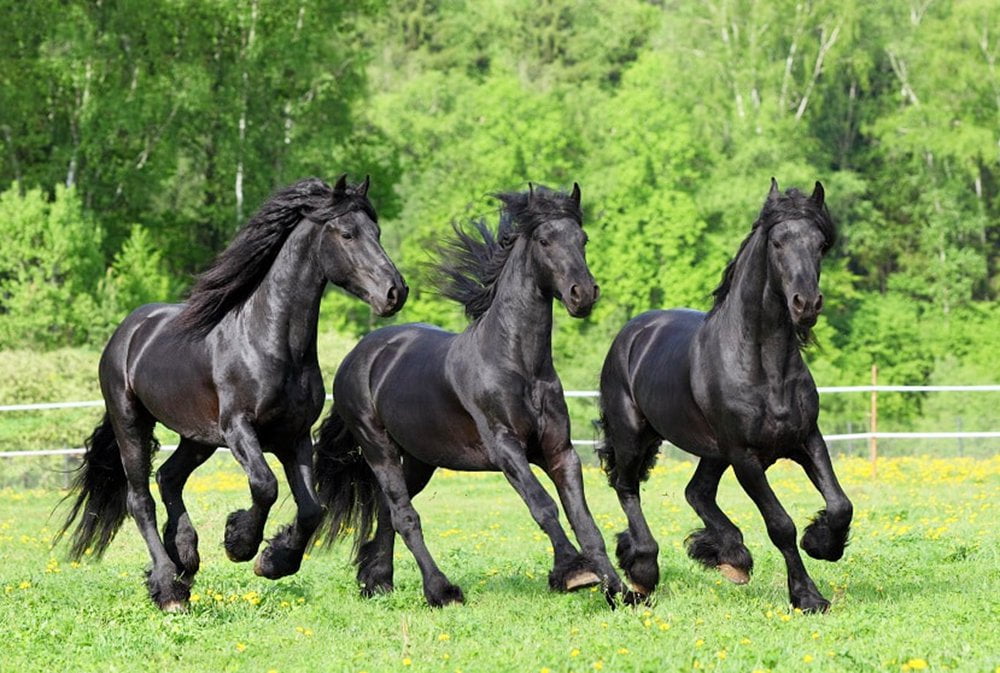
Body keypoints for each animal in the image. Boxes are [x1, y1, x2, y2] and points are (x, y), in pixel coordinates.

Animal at [57, 175, 408, 611]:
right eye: (347, 233)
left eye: (376, 232)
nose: (395, 292)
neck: (269, 341)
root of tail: (127, 331)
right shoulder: (239, 428)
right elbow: (265, 485)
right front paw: (238, 542)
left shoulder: (294, 436)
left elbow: (312, 508)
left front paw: (273, 561)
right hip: (132, 422)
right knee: (140, 500)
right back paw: (169, 587)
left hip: (197, 438)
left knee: (169, 477)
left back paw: (185, 557)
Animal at [313, 184, 632, 607]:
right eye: (545, 241)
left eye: (583, 239)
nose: (583, 294)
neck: (517, 365)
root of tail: (359, 355)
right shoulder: (505, 449)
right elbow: (543, 506)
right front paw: (574, 572)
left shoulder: (559, 451)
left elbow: (585, 521)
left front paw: (620, 591)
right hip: (378, 447)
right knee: (404, 515)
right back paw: (440, 590)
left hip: (419, 458)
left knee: (389, 509)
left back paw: (377, 580)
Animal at [597, 179, 853, 612]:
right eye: (777, 242)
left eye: (820, 244)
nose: (806, 304)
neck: (764, 367)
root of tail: (632, 333)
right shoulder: (745, 457)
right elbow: (780, 525)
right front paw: (807, 596)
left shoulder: (806, 439)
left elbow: (840, 505)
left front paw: (821, 543)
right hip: (634, 436)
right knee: (627, 488)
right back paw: (643, 572)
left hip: (712, 451)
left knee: (696, 492)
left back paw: (731, 557)